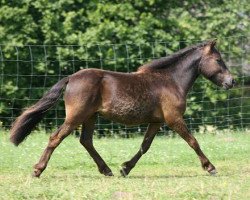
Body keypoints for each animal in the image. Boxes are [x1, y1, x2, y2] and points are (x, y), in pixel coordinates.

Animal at [10, 40, 236, 177]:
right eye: (218, 60)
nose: (231, 81)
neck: (170, 81)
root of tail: (71, 78)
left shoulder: (157, 122)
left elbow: (145, 146)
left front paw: (125, 168)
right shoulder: (173, 119)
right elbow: (193, 141)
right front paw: (210, 167)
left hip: (90, 116)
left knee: (86, 141)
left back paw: (107, 170)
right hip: (76, 116)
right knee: (56, 137)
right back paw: (37, 170)